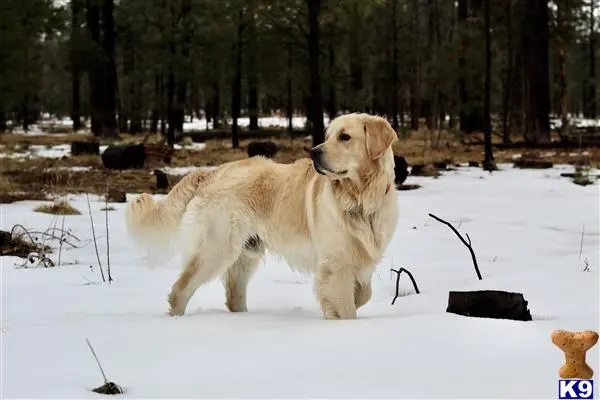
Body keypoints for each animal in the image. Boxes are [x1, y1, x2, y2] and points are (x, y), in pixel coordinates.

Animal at [125, 114, 398, 320]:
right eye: (328, 136)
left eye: (345, 136)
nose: (314, 153)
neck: (361, 197)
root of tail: (213, 171)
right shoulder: (335, 264)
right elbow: (346, 305)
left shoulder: (360, 260)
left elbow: (363, 294)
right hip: (216, 248)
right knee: (180, 290)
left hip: (244, 254)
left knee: (234, 295)